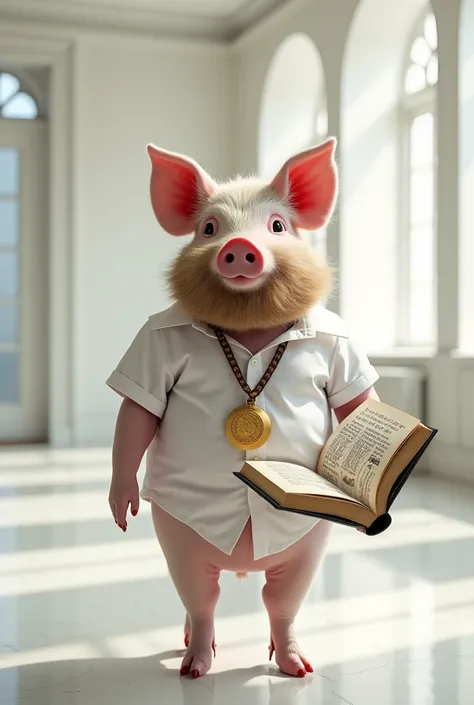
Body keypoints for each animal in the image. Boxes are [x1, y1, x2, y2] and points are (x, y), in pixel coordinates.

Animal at [105, 135, 380, 680]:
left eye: (277, 226)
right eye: (210, 228)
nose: (241, 247)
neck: (250, 328)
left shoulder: (342, 349)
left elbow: (358, 400)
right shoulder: (149, 349)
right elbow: (136, 415)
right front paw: (122, 510)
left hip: (306, 540)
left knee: (281, 599)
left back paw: (296, 666)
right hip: (180, 533)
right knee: (200, 597)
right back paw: (193, 664)